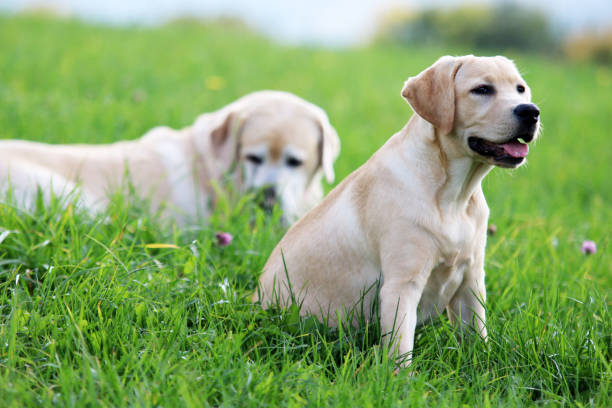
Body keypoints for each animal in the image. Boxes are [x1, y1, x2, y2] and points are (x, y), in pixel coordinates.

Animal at [256, 55, 540, 364]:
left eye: (521, 89)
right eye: (482, 90)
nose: (531, 112)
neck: (453, 195)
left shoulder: (471, 278)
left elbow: (477, 337)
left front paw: (482, 365)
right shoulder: (402, 284)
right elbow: (401, 348)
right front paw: (401, 376)